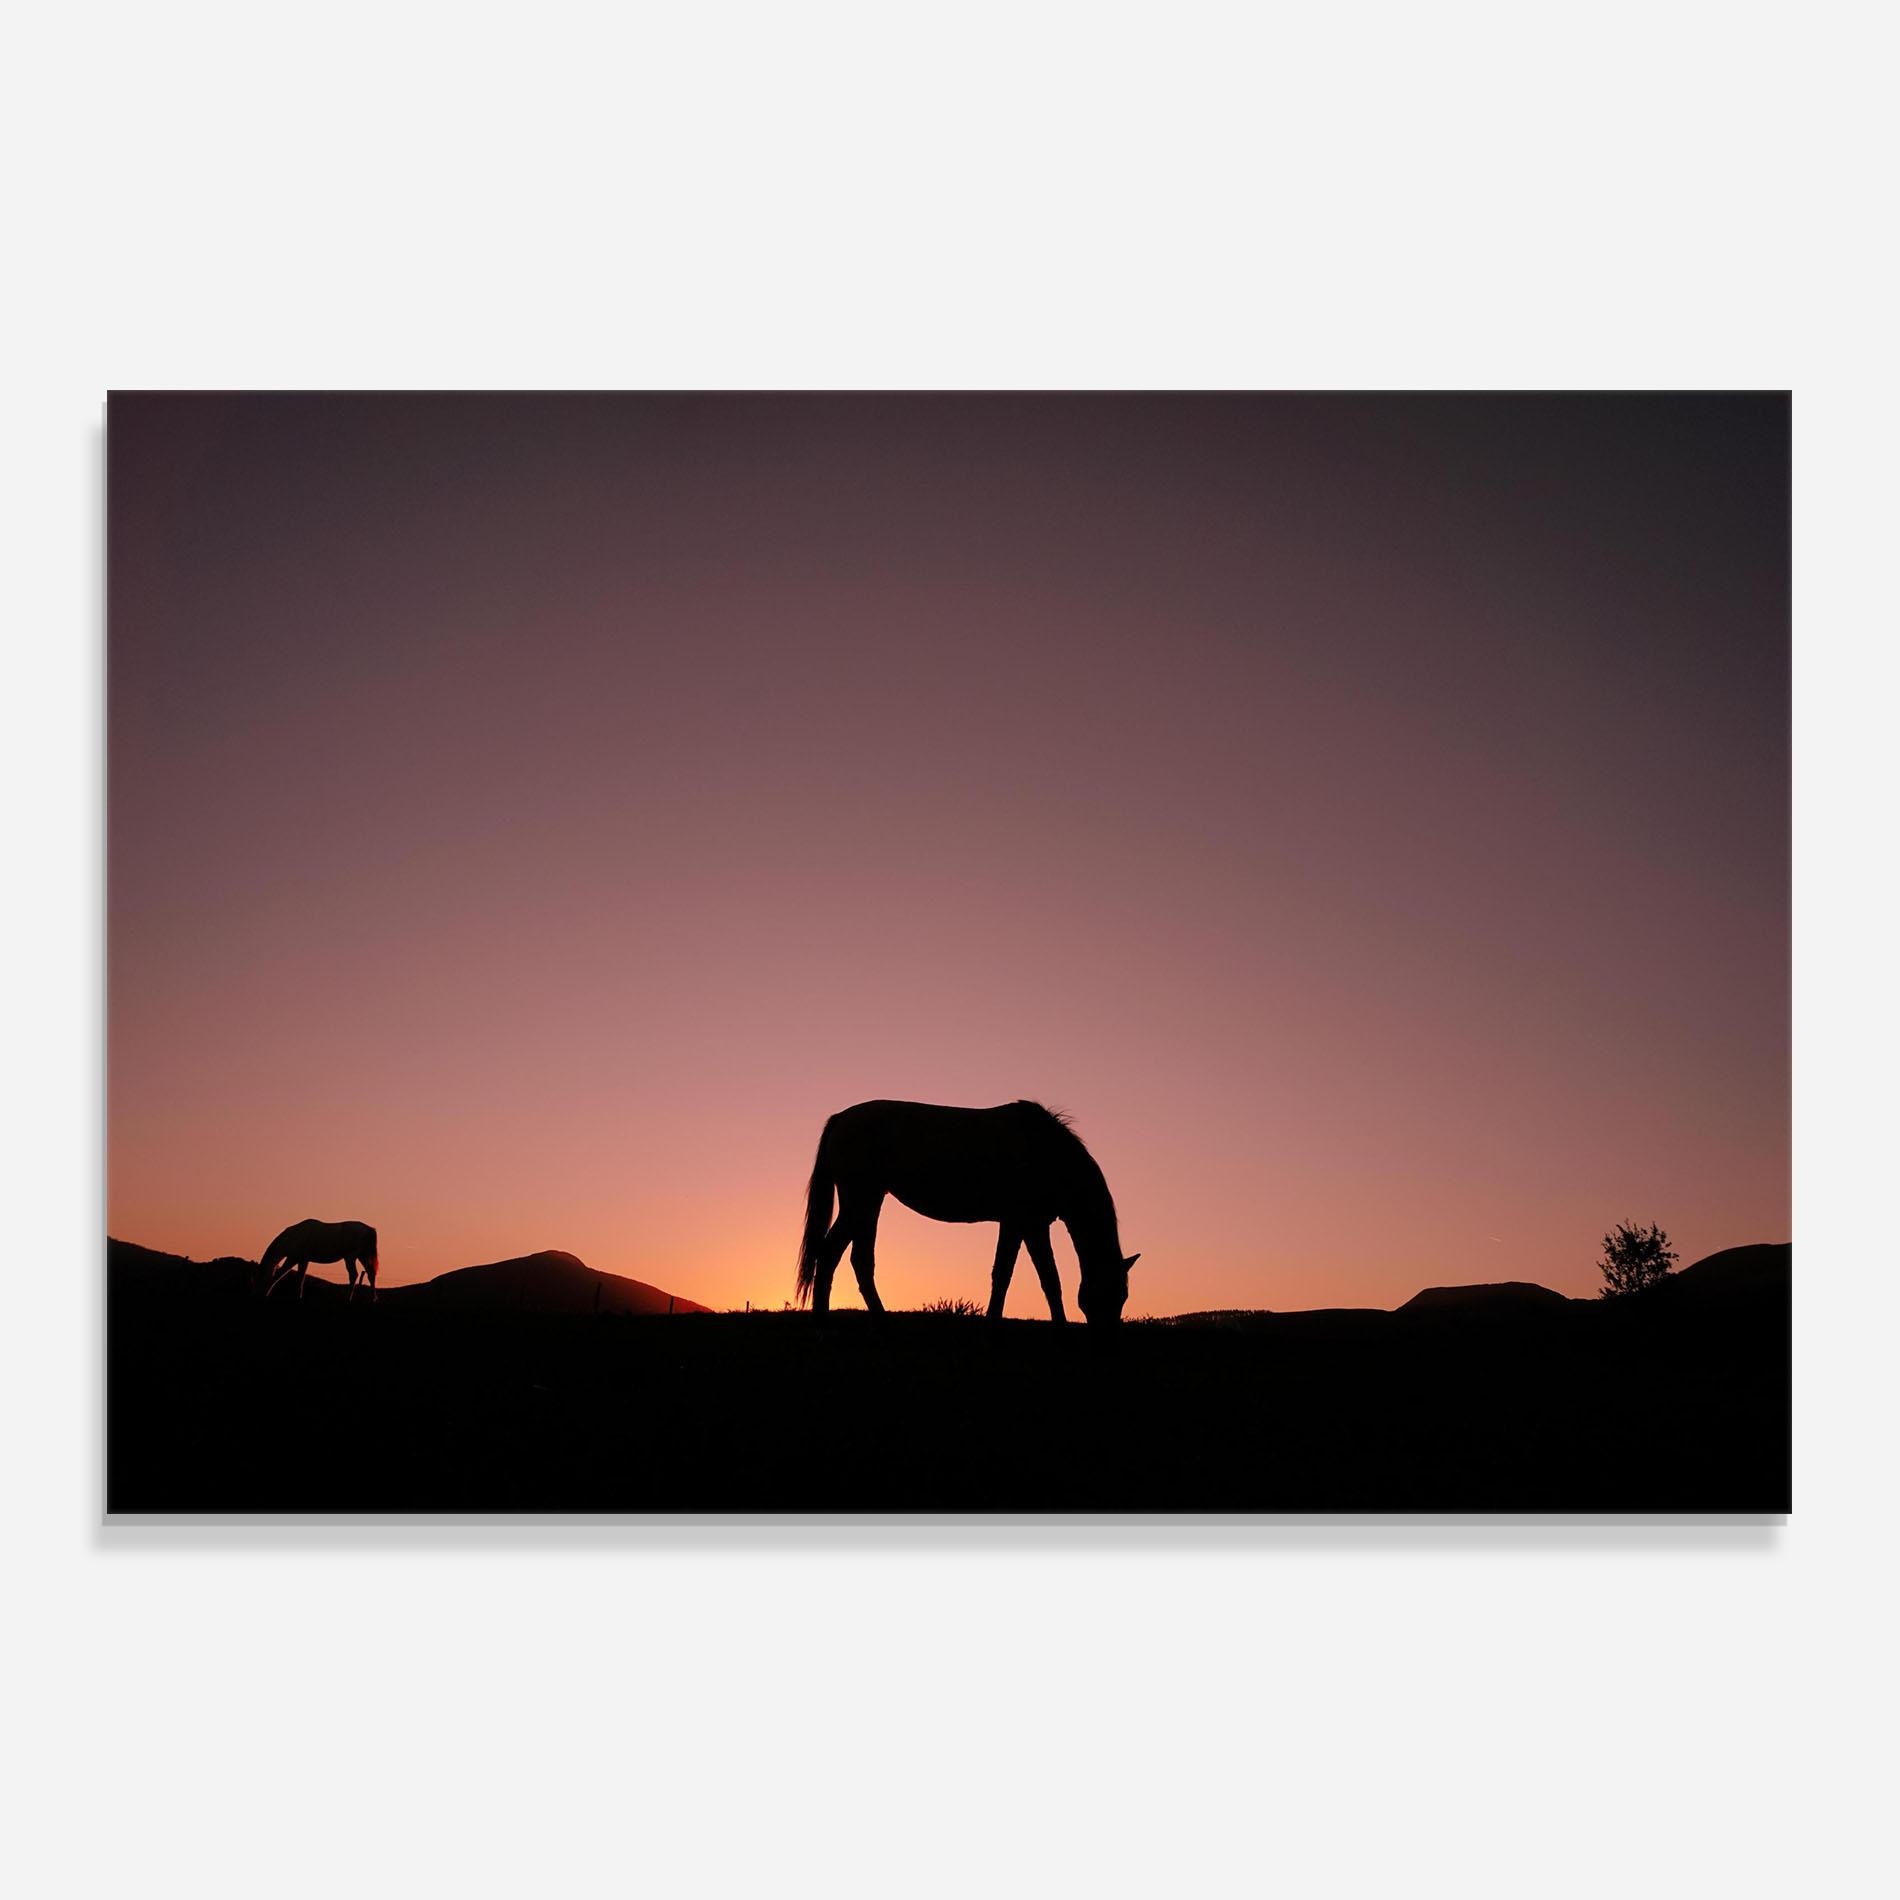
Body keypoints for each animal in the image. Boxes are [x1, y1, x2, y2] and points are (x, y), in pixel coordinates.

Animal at [794, 1100, 1138, 1324]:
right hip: (860, 1199)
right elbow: (1041, 1278)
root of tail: (841, 1118)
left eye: (1123, 1295)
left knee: (852, 1258)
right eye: (1111, 1292)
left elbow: (1012, 1275)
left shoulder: (1019, 1224)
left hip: (868, 1201)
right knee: (835, 1255)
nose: (1107, 1337)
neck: (1046, 1151)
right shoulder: (1028, 1223)